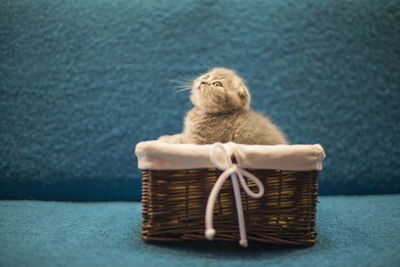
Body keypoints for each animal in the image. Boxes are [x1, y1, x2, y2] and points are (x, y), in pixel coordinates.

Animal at [159, 68, 288, 146]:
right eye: (207, 76)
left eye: (217, 84)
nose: (203, 81)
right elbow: (181, 136)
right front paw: (167, 137)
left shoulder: (200, 142)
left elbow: (180, 140)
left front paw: (165, 139)